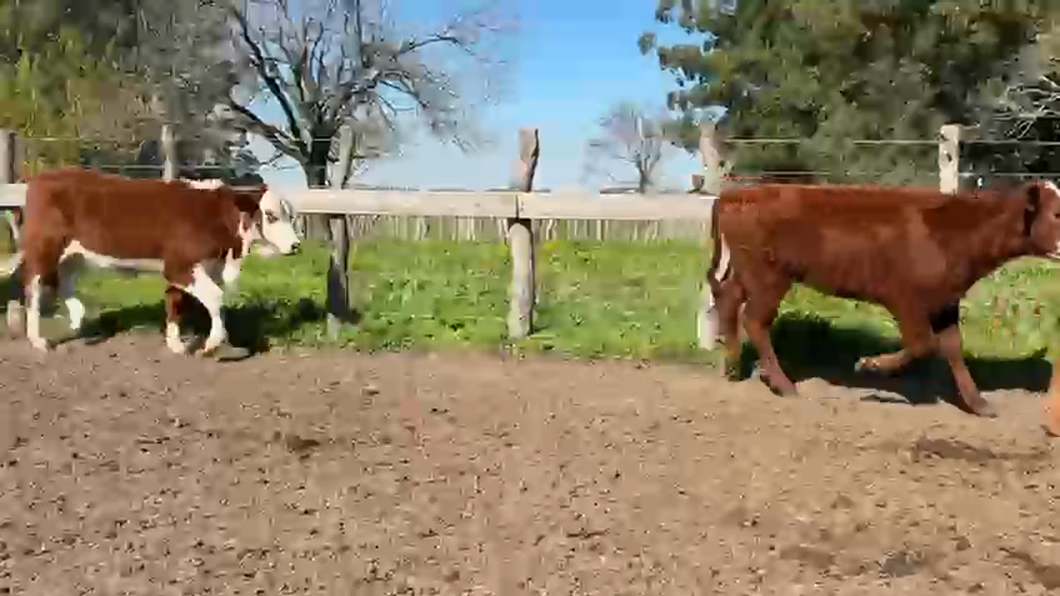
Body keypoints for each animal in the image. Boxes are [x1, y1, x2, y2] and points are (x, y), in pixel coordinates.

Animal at [1, 168, 301, 354]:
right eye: (271, 215)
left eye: (292, 215)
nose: (296, 245)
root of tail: (41, 177)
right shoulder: (180, 265)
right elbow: (216, 297)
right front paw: (212, 344)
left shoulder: (192, 267)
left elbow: (176, 302)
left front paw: (176, 344)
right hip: (44, 247)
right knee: (33, 287)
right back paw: (39, 340)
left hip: (73, 254)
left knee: (63, 282)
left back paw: (77, 320)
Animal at [702, 180, 1060, 419]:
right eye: (1057, 213)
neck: (956, 230)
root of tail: (737, 193)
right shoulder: (904, 298)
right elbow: (922, 344)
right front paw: (870, 365)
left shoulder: (945, 303)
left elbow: (952, 349)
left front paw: (979, 404)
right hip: (768, 277)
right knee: (753, 319)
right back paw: (783, 384)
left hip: (749, 273)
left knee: (728, 299)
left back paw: (732, 364)